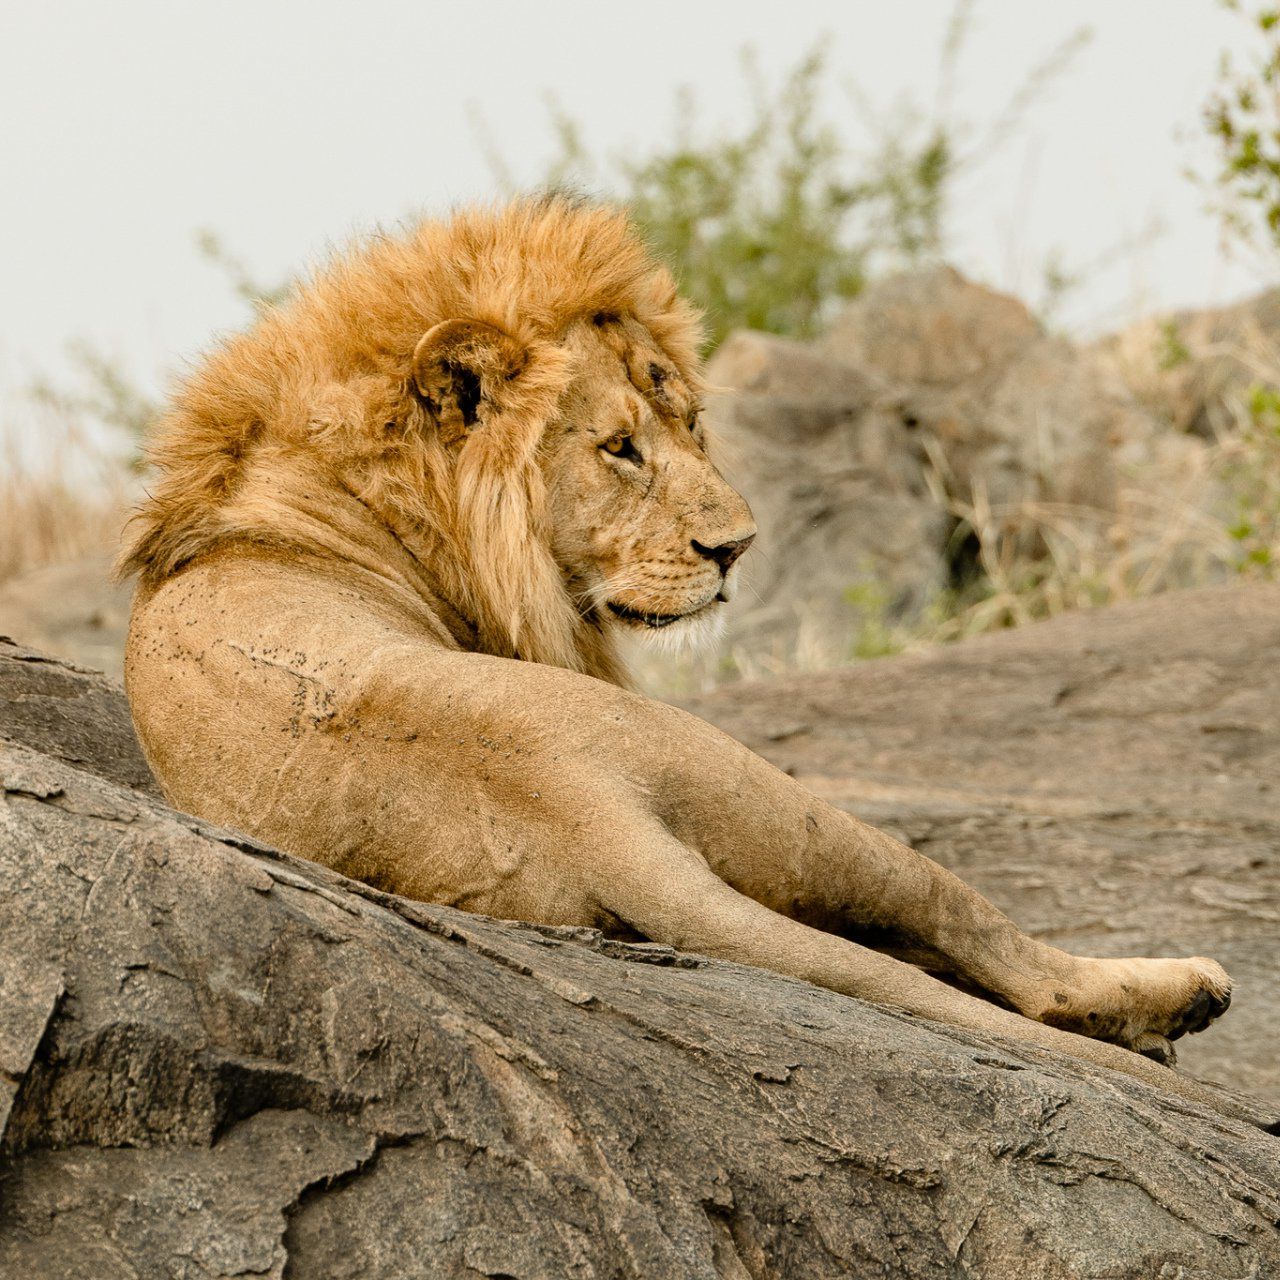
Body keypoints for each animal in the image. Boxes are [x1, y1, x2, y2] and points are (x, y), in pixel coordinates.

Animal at [121, 198, 1246, 1123]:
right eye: (620, 448)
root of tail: (579, 805)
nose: (737, 547)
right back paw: (1182, 995)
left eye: (692, 424)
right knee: (985, 935)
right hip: (760, 784)